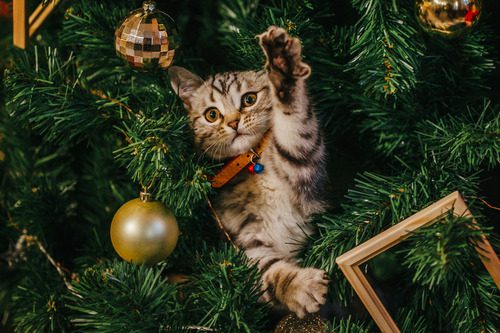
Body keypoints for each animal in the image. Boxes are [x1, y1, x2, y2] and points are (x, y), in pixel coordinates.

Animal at [170, 25, 330, 316]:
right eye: (212, 115)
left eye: (249, 99)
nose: (234, 123)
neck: (254, 165)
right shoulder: (245, 243)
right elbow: (269, 275)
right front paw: (302, 287)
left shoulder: (306, 171)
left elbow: (294, 127)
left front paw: (282, 69)